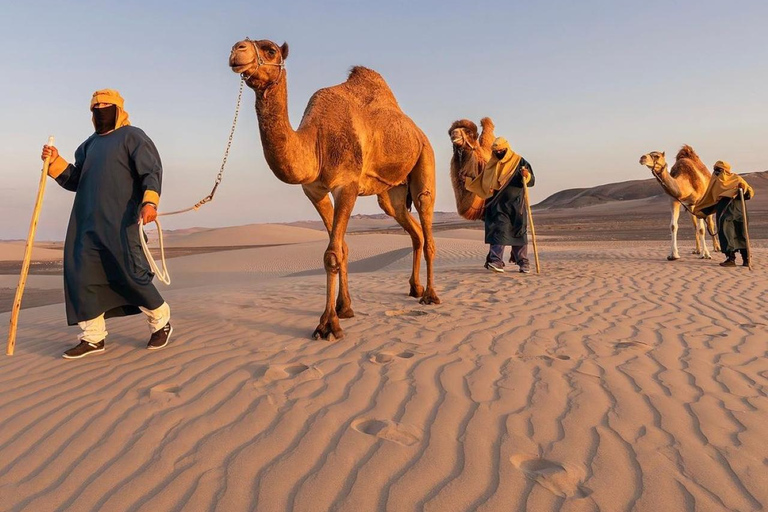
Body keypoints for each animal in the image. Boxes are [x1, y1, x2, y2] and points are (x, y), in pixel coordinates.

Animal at [228, 37, 440, 340]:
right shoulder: (315, 191)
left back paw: (431, 295)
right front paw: (345, 308)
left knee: (426, 216)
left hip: (425, 157)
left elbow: (332, 254)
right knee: (411, 228)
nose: (238, 49)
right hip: (391, 193)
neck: (315, 141)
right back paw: (415, 288)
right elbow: (342, 248)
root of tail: (418, 131)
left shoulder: (346, 185)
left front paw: (328, 325)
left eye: (270, 49)